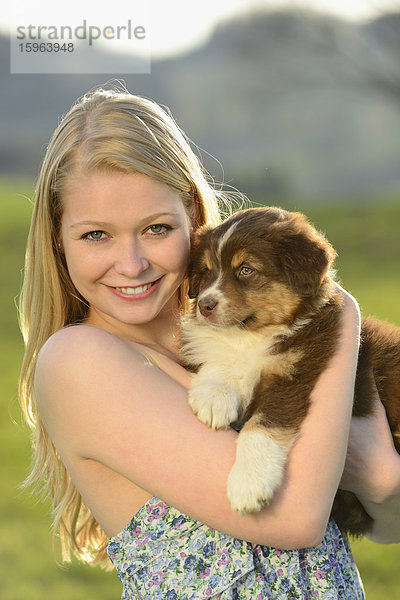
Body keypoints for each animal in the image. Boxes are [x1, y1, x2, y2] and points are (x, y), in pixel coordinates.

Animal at [180, 205, 400, 536]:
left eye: (246, 270)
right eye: (206, 270)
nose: (205, 305)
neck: (257, 335)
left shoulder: (296, 373)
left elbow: (261, 428)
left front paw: (248, 486)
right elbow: (220, 355)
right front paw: (214, 399)